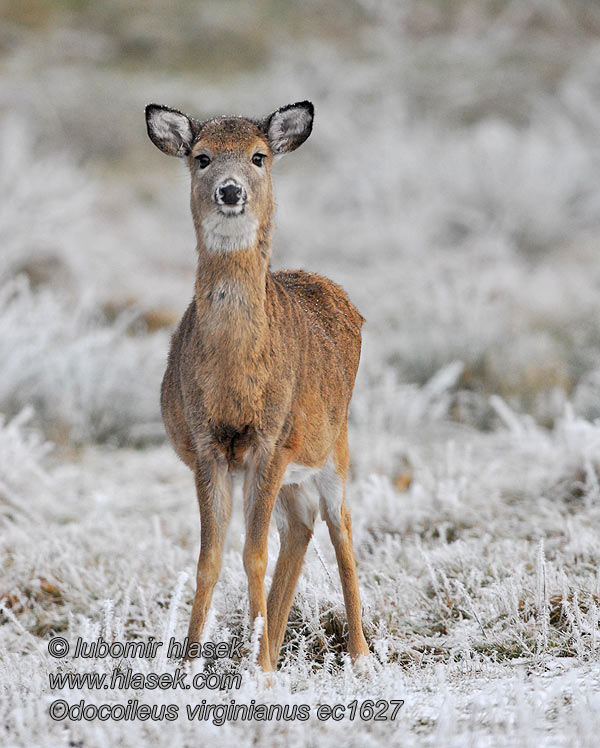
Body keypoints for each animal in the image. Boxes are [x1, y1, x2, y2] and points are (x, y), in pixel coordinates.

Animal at [145, 99, 370, 672]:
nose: (230, 191)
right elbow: (211, 557)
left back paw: (359, 653)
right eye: (201, 157)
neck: (234, 381)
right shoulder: (209, 443)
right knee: (300, 526)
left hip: (332, 441)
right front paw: (188, 664)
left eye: (259, 157)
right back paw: (271, 636)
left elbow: (253, 553)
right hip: (289, 469)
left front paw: (263, 671)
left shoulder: (270, 438)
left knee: (339, 524)